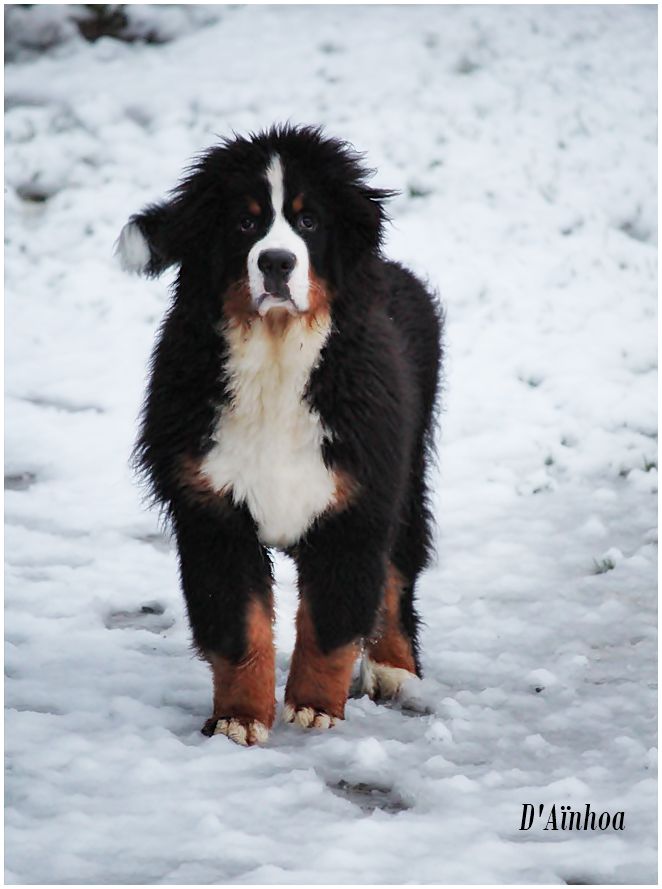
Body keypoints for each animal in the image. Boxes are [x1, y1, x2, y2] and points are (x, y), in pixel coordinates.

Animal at [116, 123, 444, 744]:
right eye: (245, 223)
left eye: (309, 221)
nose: (274, 262)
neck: (275, 354)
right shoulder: (213, 510)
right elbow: (239, 626)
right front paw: (239, 718)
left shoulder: (355, 504)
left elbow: (331, 621)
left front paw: (315, 707)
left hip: (405, 473)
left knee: (398, 570)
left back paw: (395, 668)